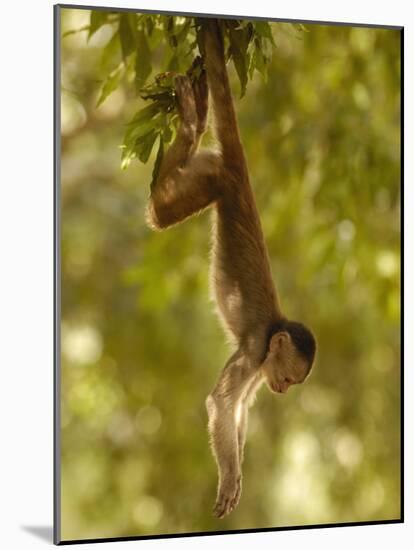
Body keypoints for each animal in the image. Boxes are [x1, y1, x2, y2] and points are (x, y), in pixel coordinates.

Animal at [144, 20, 316, 520]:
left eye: (289, 383)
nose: (283, 392)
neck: (277, 328)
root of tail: (243, 175)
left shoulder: (261, 364)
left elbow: (238, 411)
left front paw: (236, 473)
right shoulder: (257, 350)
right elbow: (220, 403)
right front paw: (230, 477)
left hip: (214, 173)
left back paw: (197, 112)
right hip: (216, 179)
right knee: (159, 212)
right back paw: (190, 121)